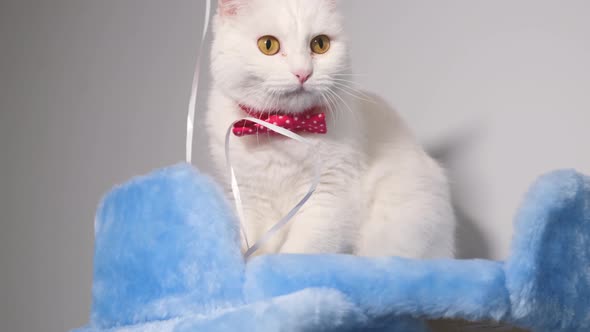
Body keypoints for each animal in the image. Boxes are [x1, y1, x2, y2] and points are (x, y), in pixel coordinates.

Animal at [206, 0, 456, 258]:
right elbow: (256, 246)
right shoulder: (249, 199)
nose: (303, 72)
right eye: (268, 44)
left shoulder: (328, 199)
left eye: (320, 44)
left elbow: (297, 252)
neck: (283, 130)